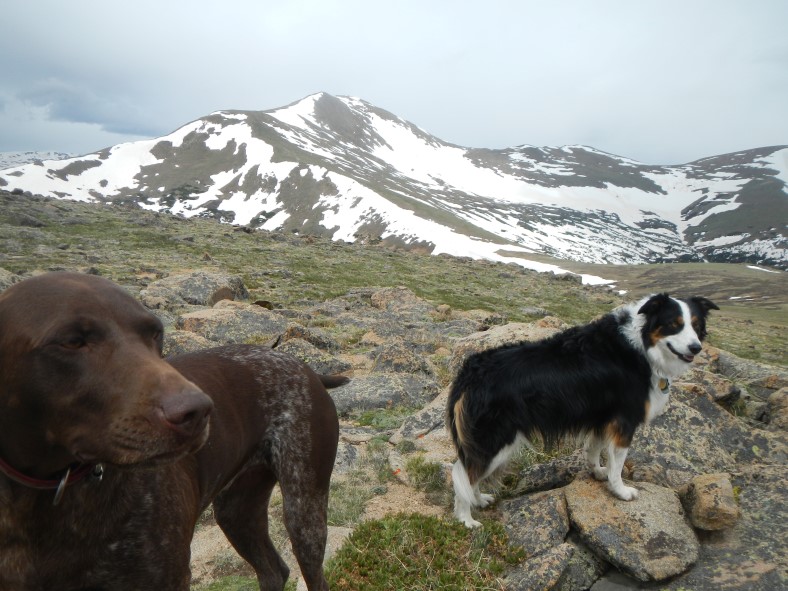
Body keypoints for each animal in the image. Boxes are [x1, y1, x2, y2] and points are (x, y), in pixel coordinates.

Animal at [0, 272, 344, 591]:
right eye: (72, 341)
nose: (199, 411)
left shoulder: (169, 578)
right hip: (236, 511)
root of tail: (307, 369)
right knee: (273, 570)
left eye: (156, 334)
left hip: (303, 513)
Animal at [446, 294, 716, 528]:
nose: (696, 348)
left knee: (469, 472)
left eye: (696, 325)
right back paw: (466, 520)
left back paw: (479, 500)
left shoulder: (601, 417)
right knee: (464, 474)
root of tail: (469, 374)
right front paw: (620, 491)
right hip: (495, 439)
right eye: (674, 325)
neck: (642, 344)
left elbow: (594, 449)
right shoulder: (624, 421)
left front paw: (597, 472)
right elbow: (618, 464)